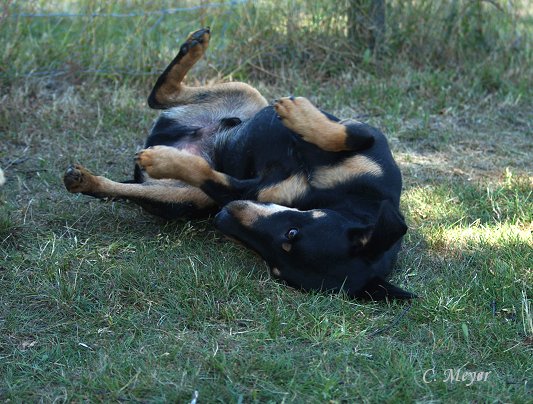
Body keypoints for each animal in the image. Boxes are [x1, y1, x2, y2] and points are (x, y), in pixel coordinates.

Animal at [61, 27, 412, 300]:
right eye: (293, 232)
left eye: (276, 268)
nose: (223, 219)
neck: (344, 197)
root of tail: (166, 134)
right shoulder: (371, 138)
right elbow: (347, 135)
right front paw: (298, 115)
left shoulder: (246, 190)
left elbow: (204, 172)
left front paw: (163, 159)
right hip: (248, 94)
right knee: (160, 95)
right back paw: (195, 47)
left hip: (185, 198)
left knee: (127, 181)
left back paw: (89, 179)